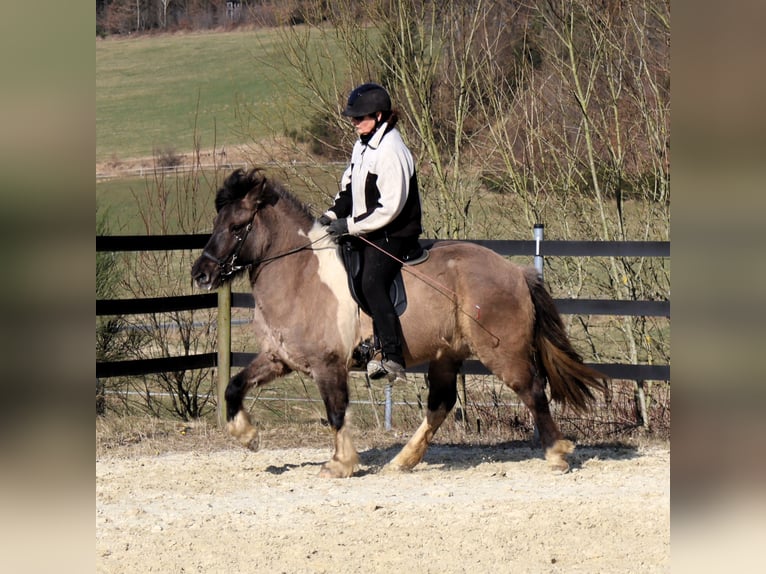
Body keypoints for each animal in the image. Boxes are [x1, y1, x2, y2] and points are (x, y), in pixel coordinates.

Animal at [191, 168, 607, 477]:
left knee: (532, 391)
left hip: (502, 351)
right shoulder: (280, 358)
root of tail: (516, 271)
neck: (301, 273)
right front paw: (247, 436)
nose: (200, 274)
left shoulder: (328, 364)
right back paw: (402, 460)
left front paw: (341, 464)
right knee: (441, 404)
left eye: (237, 226)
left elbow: (336, 410)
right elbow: (234, 386)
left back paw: (556, 454)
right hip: (446, 355)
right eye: (217, 221)